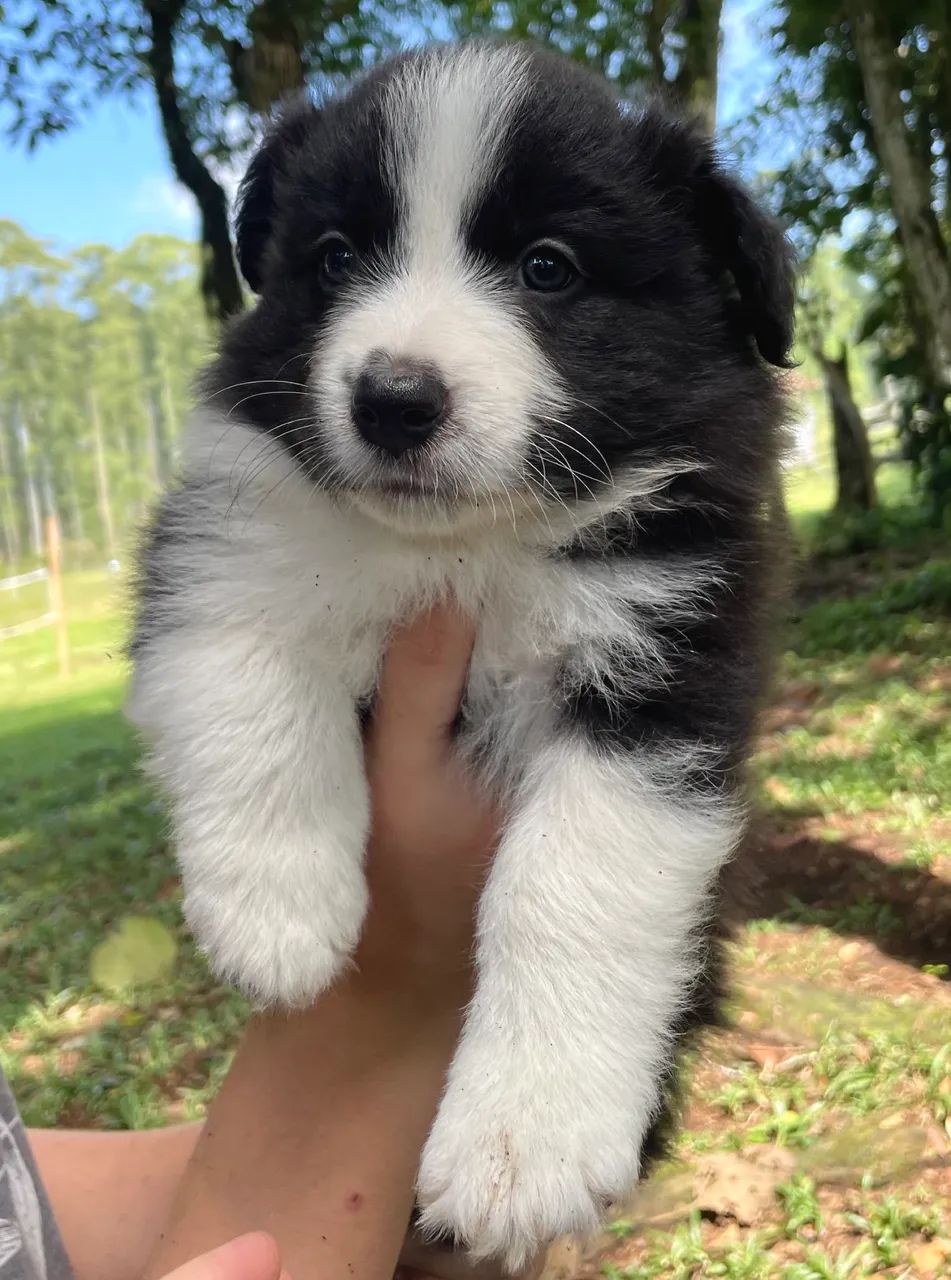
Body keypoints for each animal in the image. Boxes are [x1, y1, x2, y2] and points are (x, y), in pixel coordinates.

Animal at [128, 40, 793, 1269]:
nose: (393, 398)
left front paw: (524, 1140)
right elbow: (244, 673)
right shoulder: (220, 545)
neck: (471, 547)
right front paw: (277, 912)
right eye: (336, 257)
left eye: (547, 267)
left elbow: (570, 878)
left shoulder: (666, 658)